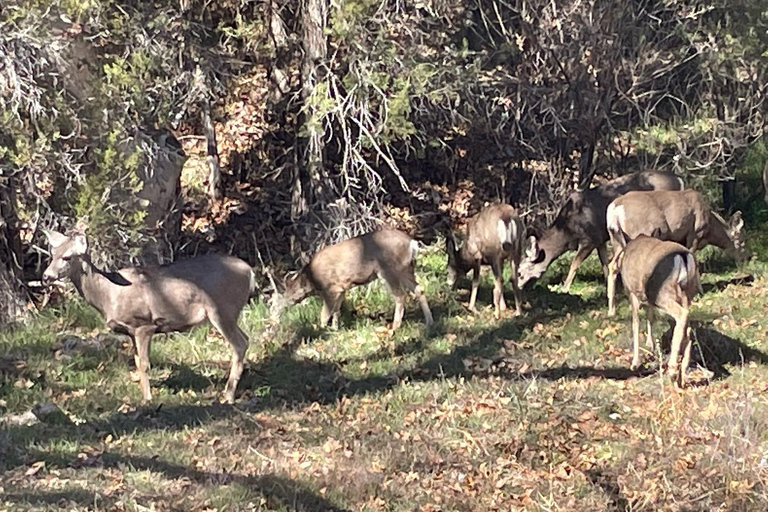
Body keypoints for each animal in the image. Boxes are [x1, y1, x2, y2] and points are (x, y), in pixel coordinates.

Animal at [41, 229, 255, 404]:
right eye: (52, 255)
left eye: (67, 257)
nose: (46, 276)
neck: (109, 294)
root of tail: (250, 271)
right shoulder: (130, 331)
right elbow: (136, 362)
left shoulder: (143, 324)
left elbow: (144, 364)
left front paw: (147, 399)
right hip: (230, 313)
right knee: (245, 338)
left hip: (222, 310)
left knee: (240, 344)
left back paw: (228, 395)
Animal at [272, 229, 436, 332]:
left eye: (272, 304)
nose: (272, 320)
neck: (311, 280)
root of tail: (412, 243)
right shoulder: (341, 289)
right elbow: (336, 310)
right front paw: (335, 329)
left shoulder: (330, 289)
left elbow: (325, 314)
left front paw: (321, 331)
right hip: (406, 269)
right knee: (419, 289)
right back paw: (429, 322)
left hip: (389, 269)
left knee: (401, 295)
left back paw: (395, 326)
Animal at [516, 171, 684, 292]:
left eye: (521, 271)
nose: (518, 286)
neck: (568, 231)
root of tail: (679, 179)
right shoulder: (600, 240)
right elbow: (605, 263)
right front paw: (611, 287)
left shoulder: (590, 239)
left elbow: (574, 263)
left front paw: (565, 288)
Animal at [608, 189, 744, 316]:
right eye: (741, 242)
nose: (744, 260)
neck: (710, 228)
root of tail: (614, 210)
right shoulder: (694, 235)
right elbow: (695, 262)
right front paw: (699, 291)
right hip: (636, 234)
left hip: (616, 241)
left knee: (613, 266)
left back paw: (612, 310)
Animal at [612, 236, 704, 388]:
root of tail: (683, 257)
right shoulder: (647, 300)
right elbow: (650, 317)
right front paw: (651, 346)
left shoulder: (632, 292)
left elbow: (635, 324)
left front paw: (635, 363)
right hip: (688, 292)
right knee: (688, 327)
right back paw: (682, 375)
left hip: (662, 293)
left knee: (681, 314)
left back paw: (672, 370)